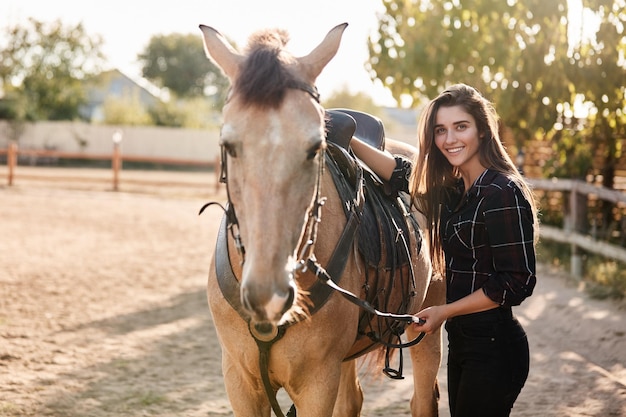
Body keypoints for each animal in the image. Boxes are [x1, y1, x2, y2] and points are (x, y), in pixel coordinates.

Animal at [200, 22, 444, 416]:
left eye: (315, 147)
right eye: (229, 145)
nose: (268, 295)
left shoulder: (318, 383)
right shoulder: (239, 380)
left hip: (426, 326)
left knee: (422, 398)